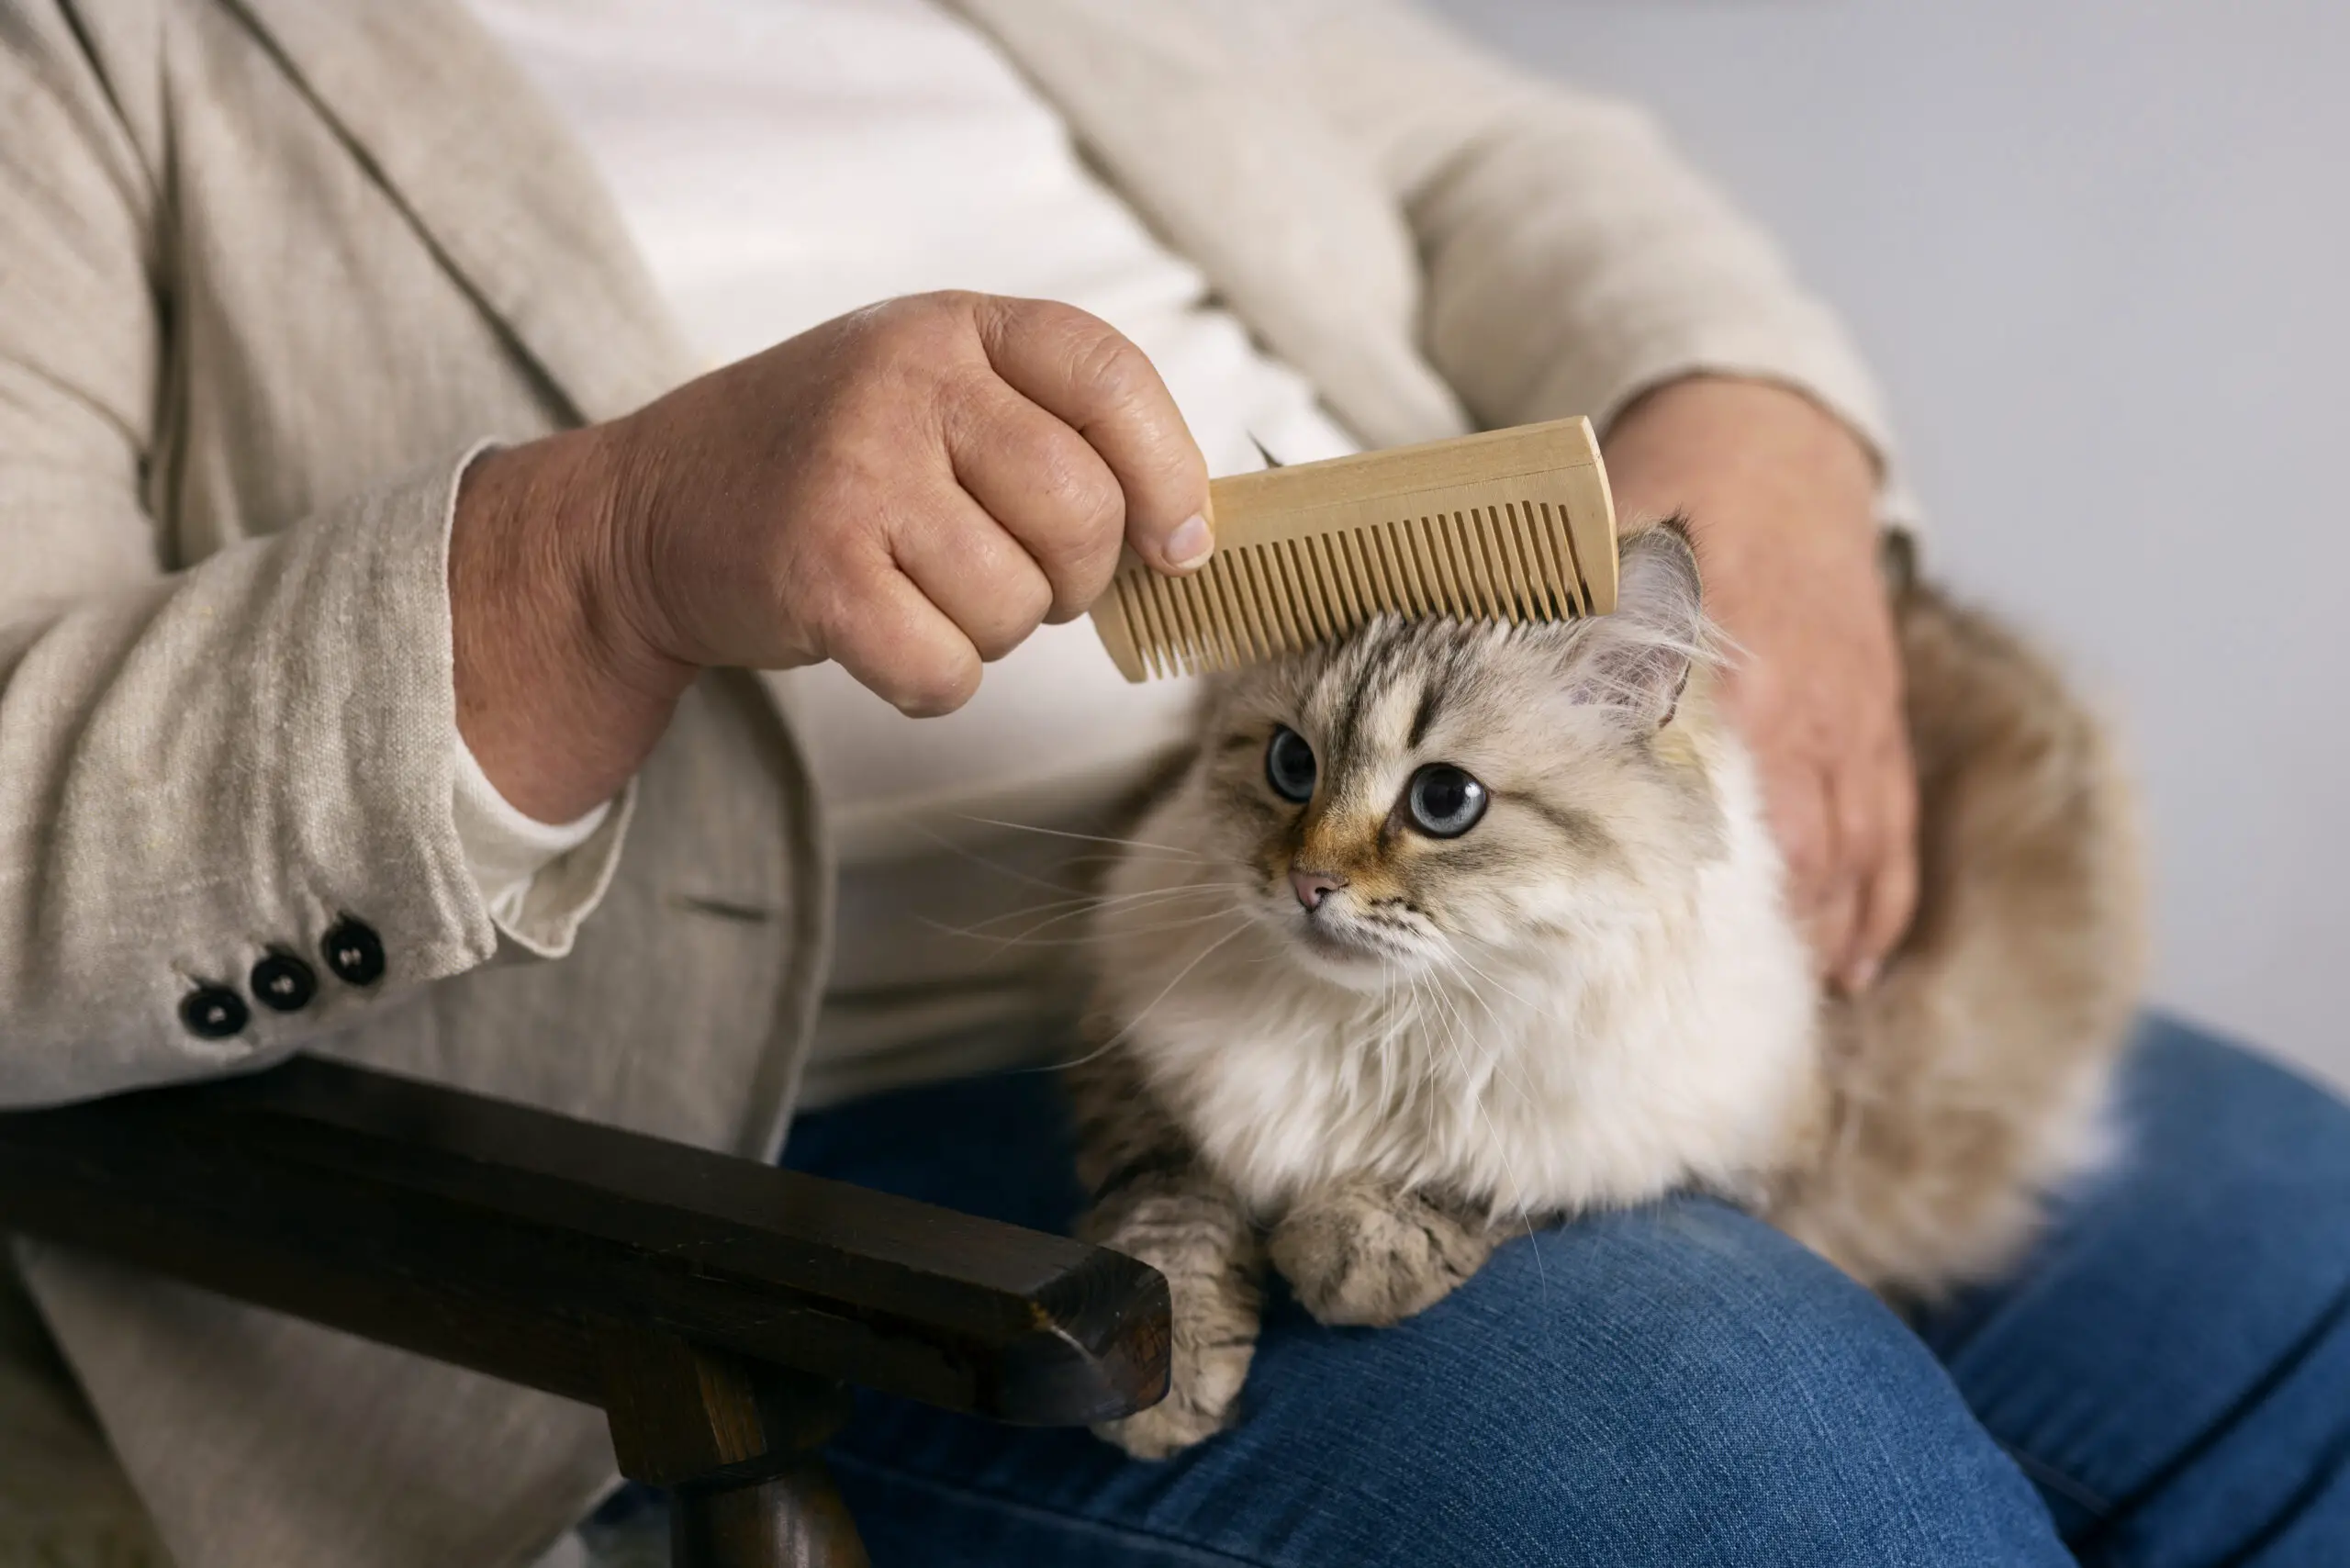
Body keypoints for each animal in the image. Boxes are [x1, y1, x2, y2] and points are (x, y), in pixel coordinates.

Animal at [1076, 514, 2152, 1457]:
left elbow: (1487, 1182)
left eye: (1443, 801)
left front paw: (1347, 1253)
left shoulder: (1714, 1131)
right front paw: (1163, 1395)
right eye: (1290, 766)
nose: (1309, 885)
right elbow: (1167, 1228)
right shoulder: (1141, 1074)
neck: (1381, 1022)